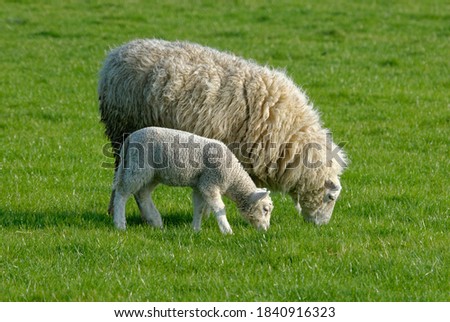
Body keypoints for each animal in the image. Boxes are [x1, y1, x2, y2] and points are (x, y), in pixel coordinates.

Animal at [112, 126, 274, 234]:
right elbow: (219, 208)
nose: (266, 230)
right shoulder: (209, 183)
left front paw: (195, 229)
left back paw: (156, 221)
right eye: (265, 209)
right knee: (122, 193)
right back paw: (120, 224)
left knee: (143, 194)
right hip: (138, 167)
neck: (233, 177)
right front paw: (227, 231)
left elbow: (199, 208)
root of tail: (131, 137)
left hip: (152, 174)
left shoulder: (199, 185)